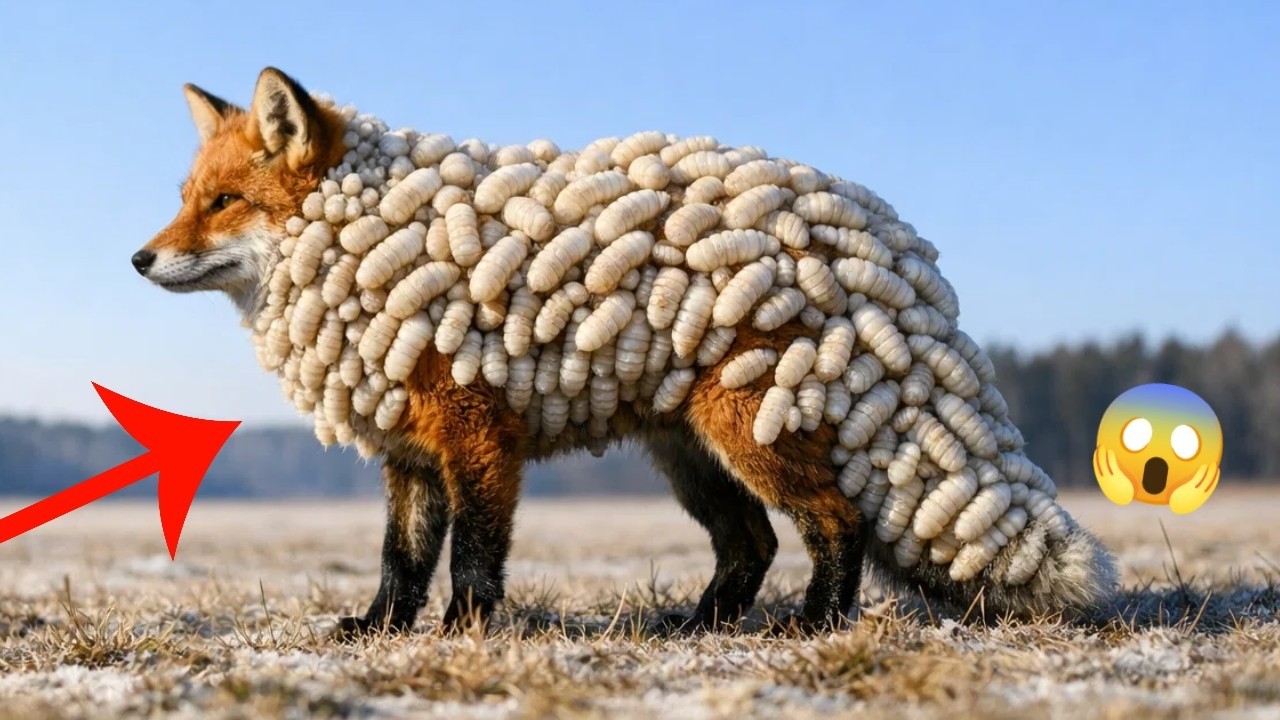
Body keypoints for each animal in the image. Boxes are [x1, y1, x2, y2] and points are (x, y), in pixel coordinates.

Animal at [133, 67, 1116, 636]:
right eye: (186, 198)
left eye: (223, 203)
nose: (140, 259)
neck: (366, 246)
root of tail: (880, 233)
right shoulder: (407, 455)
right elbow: (399, 561)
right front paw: (377, 631)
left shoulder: (479, 436)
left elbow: (474, 558)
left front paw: (465, 634)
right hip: (692, 457)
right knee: (753, 543)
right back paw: (702, 626)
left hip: (752, 431)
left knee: (837, 524)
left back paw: (813, 626)